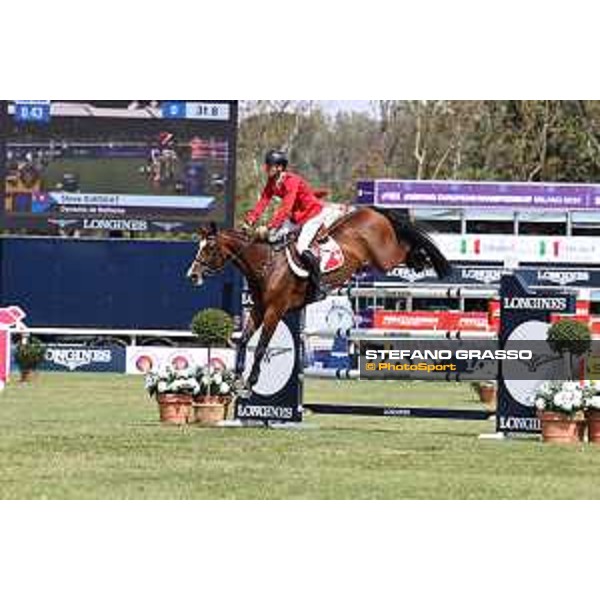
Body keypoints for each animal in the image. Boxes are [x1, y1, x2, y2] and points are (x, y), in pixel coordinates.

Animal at [186, 207, 450, 390]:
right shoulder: (258, 309)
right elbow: (243, 341)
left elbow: (261, 346)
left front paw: (250, 382)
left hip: (384, 257)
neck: (266, 265)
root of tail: (371, 210)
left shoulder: (275, 310)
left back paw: (421, 260)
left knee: (404, 249)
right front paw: (237, 378)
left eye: (209, 249)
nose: (192, 276)